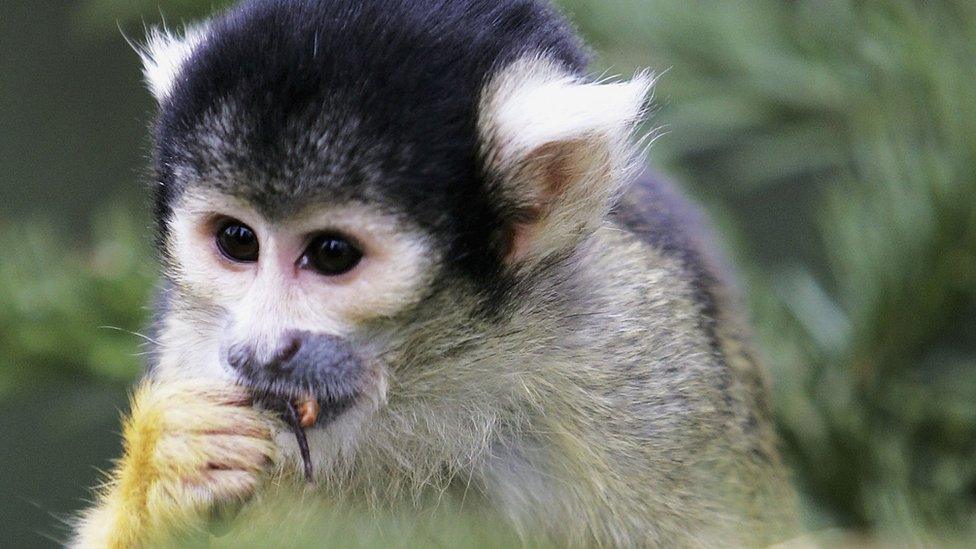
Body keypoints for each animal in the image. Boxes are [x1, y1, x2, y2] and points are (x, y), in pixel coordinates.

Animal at [70, 0, 800, 544]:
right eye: (237, 240)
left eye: (331, 254)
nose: (259, 351)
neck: (429, 387)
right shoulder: (190, 350)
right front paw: (165, 468)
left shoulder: (643, 363)